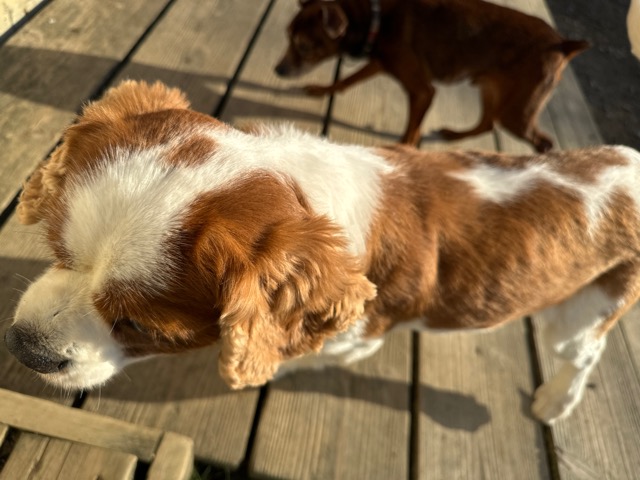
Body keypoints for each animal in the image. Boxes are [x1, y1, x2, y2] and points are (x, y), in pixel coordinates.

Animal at [6, 80, 640, 425]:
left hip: (579, 313)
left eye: (139, 326)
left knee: (584, 354)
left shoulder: (359, 333)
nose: (25, 348)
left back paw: (555, 401)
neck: (306, 190)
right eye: (55, 247)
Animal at [275, 0, 589, 152]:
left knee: (543, 142)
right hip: (491, 89)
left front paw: (403, 150)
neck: (377, 18)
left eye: (304, 46)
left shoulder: (422, 90)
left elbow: (410, 132)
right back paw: (453, 135)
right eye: (287, 37)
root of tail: (563, 44)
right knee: (488, 123)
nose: (279, 69)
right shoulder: (381, 63)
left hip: (517, 113)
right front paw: (320, 89)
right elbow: (347, 80)